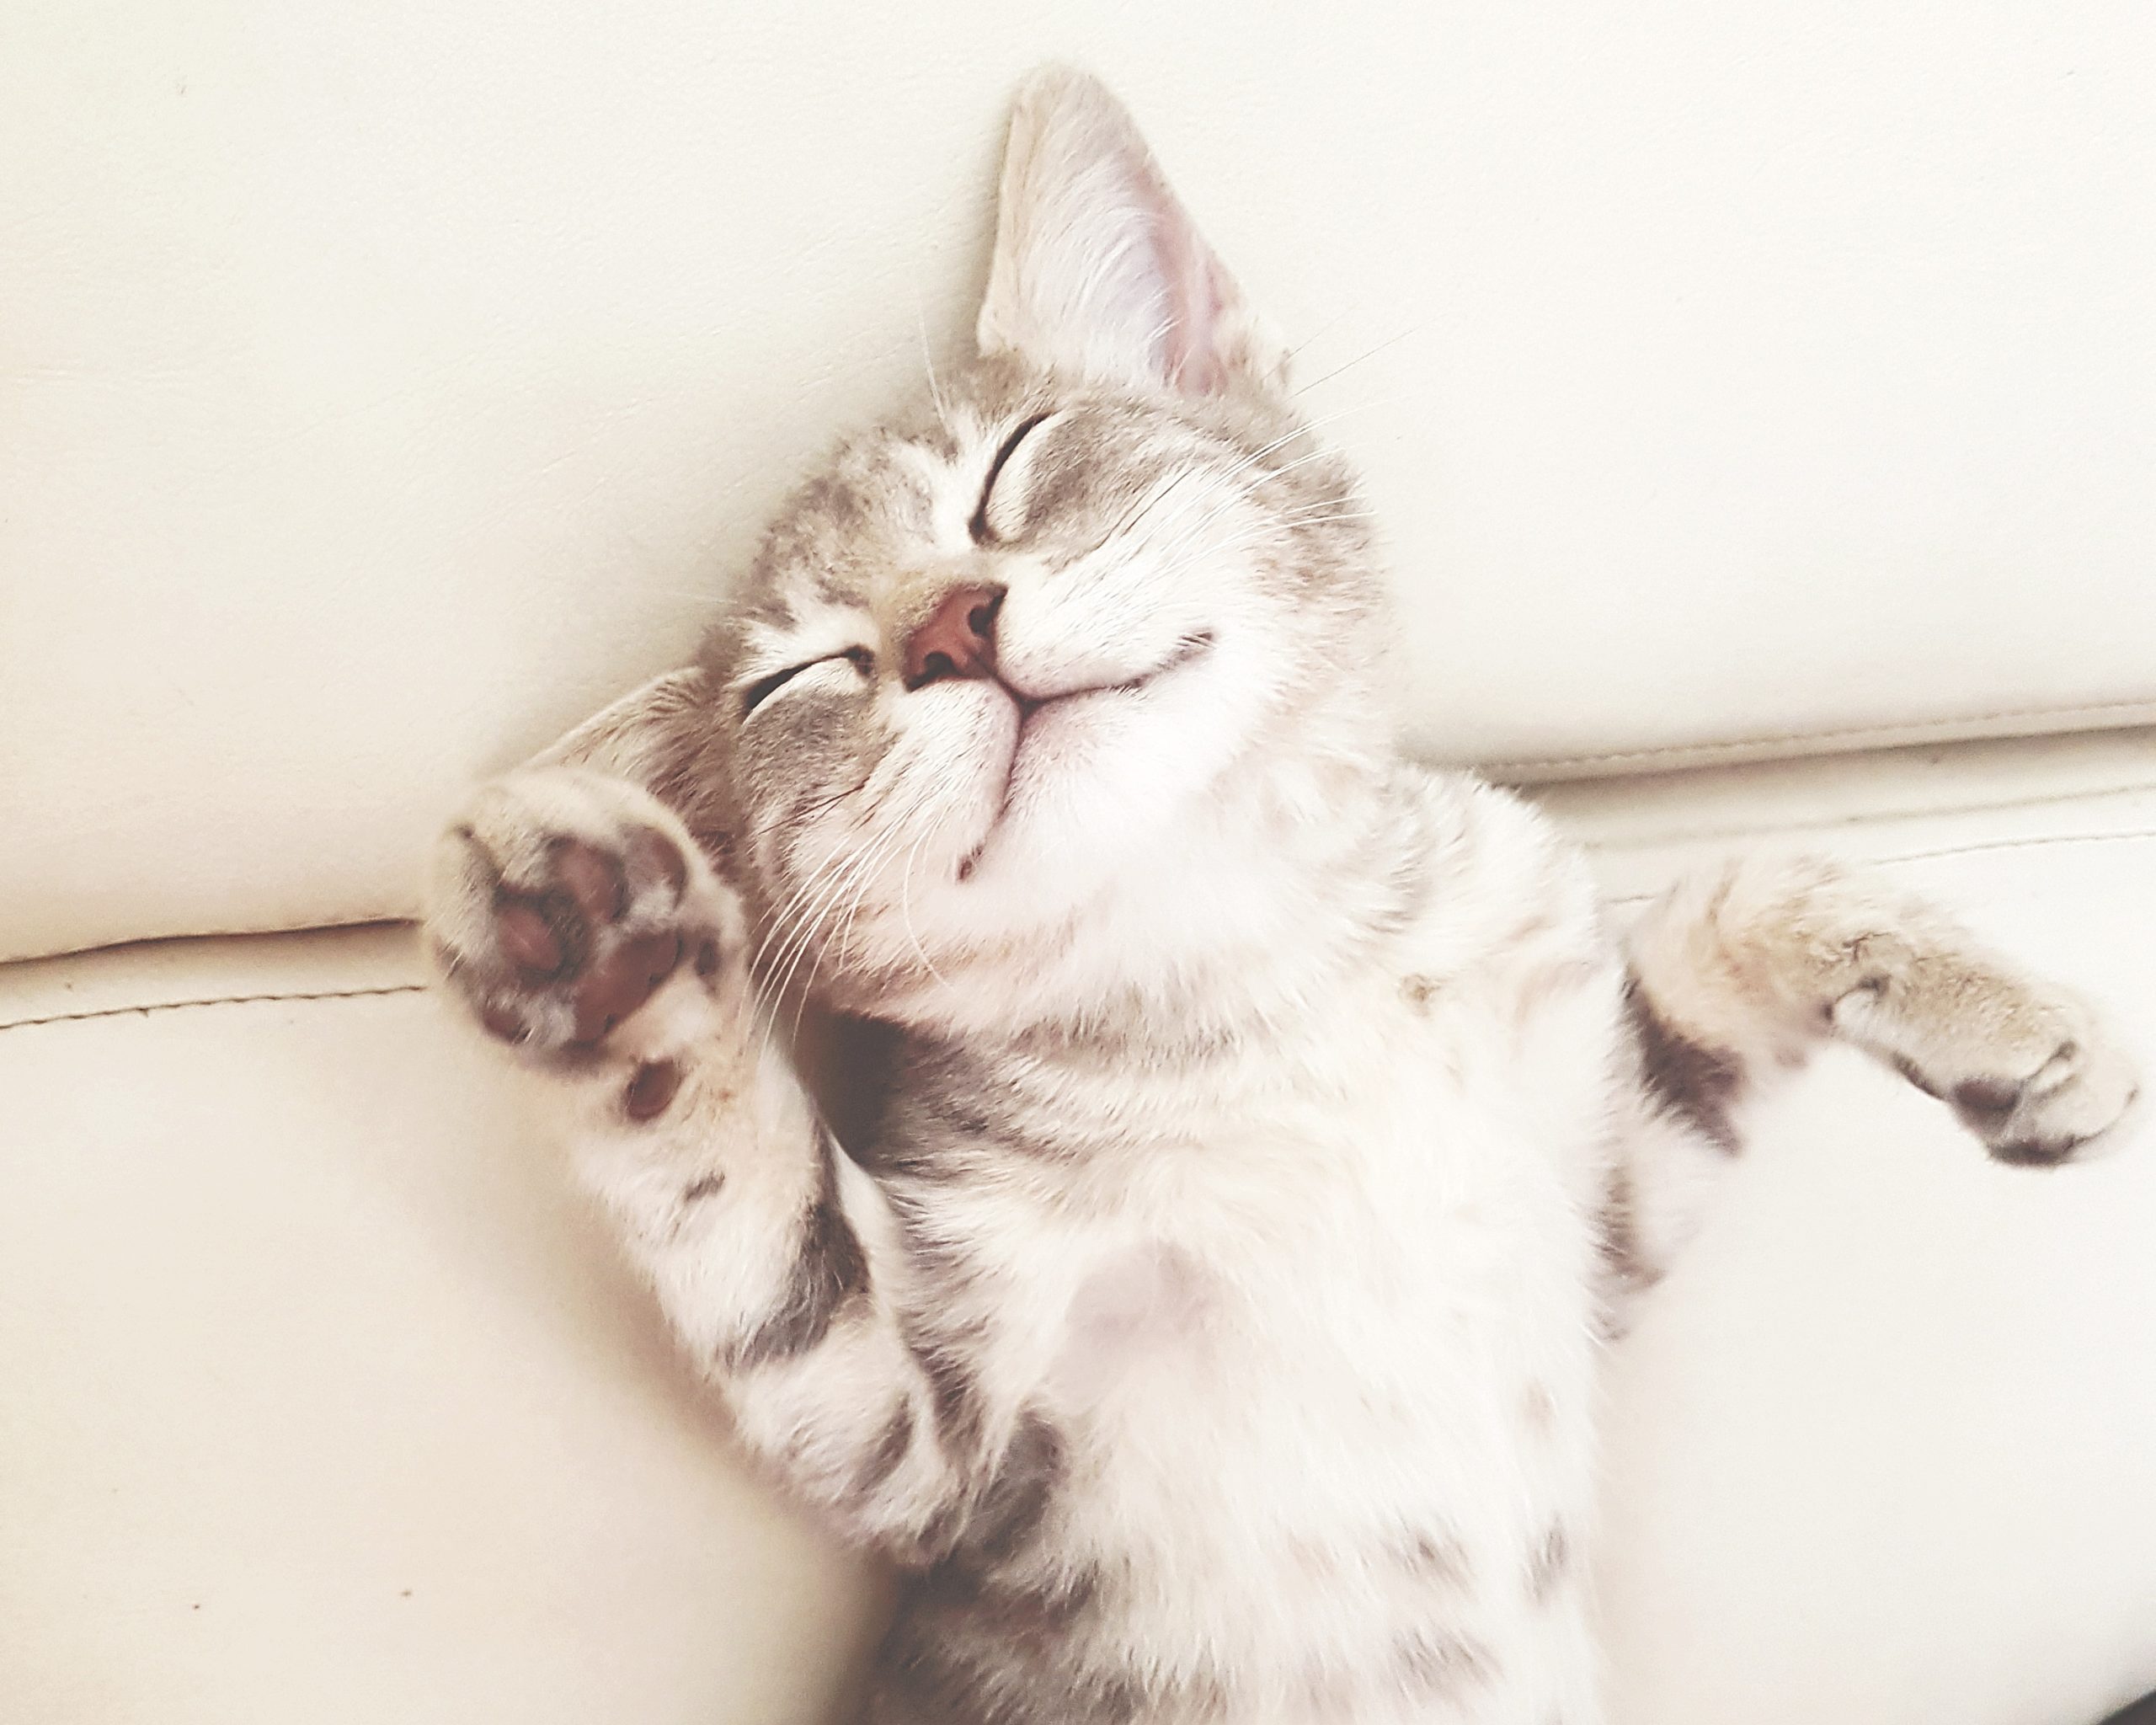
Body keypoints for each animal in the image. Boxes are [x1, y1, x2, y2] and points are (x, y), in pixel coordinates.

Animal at [420, 67, 2138, 1725]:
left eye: (1014, 464)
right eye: (801, 678)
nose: (950, 628)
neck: (1270, 969)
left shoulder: (1598, 1211)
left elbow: (1746, 888)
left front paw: (2010, 1017)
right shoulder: (939, 1445)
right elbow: (765, 1232)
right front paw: (614, 955)